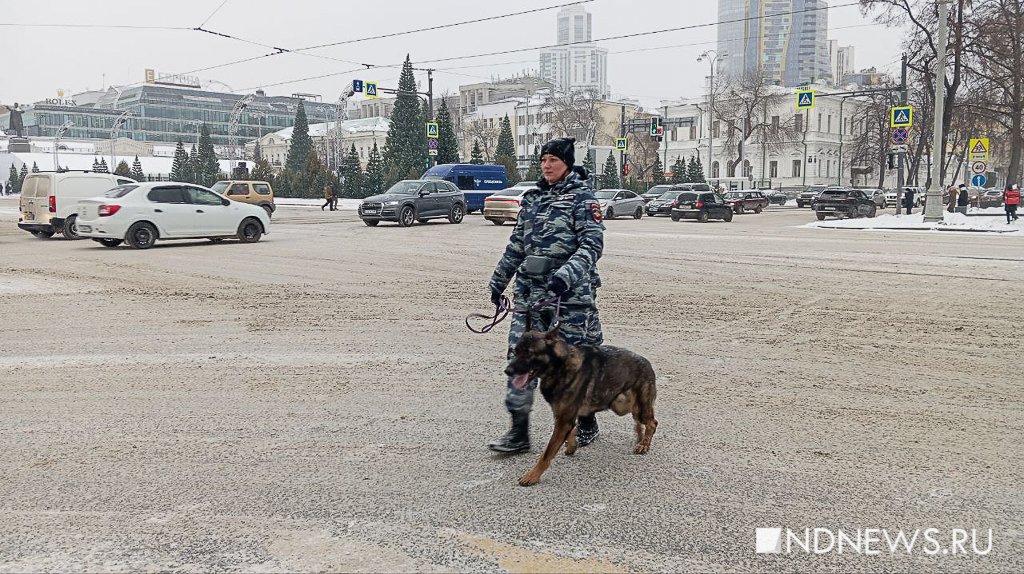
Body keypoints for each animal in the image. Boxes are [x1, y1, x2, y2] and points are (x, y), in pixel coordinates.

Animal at [503, 329, 655, 484]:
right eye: (515, 351)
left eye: (529, 353)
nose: (507, 371)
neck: (560, 367)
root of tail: (646, 362)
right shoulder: (562, 417)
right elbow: (570, 431)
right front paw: (572, 445)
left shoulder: (564, 420)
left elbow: (547, 453)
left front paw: (532, 475)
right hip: (620, 405)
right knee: (640, 420)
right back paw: (640, 437)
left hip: (639, 409)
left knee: (652, 423)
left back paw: (644, 444)